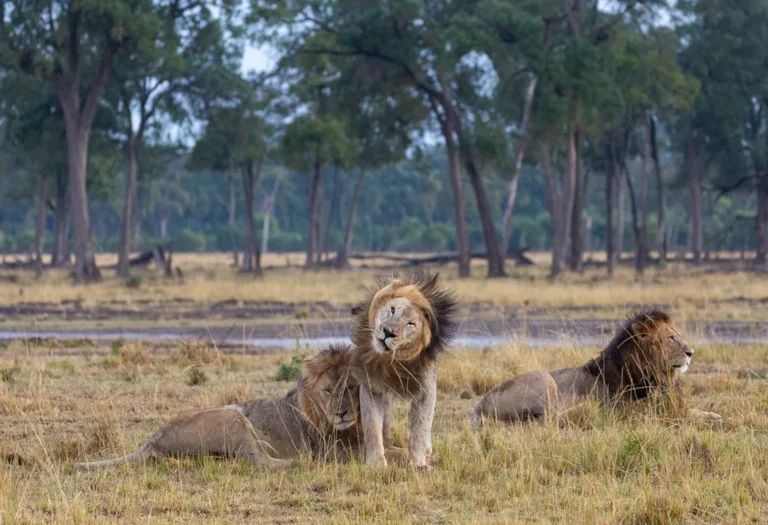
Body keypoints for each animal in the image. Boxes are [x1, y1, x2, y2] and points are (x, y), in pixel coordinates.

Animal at [75, 344, 364, 469]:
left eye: (351, 387)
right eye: (327, 390)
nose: (341, 413)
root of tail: (152, 440)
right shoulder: (332, 449)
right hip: (233, 417)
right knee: (260, 461)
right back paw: (300, 463)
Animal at [350, 272, 457, 469]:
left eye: (411, 324)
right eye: (392, 310)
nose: (388, 332)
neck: (392, 361)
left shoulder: (425, 391)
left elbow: (419, 431)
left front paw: (418, 464)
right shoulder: (372, 387)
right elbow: (372, 427)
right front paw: (376, 463)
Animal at [471, 310, 723, 428]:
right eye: (671, 338)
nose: (691, 353)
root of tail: (479, 404)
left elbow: (695, 411)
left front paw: (715, 416)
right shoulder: (635, 412)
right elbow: (685, 417)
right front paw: (710, 420)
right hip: (544, 379)